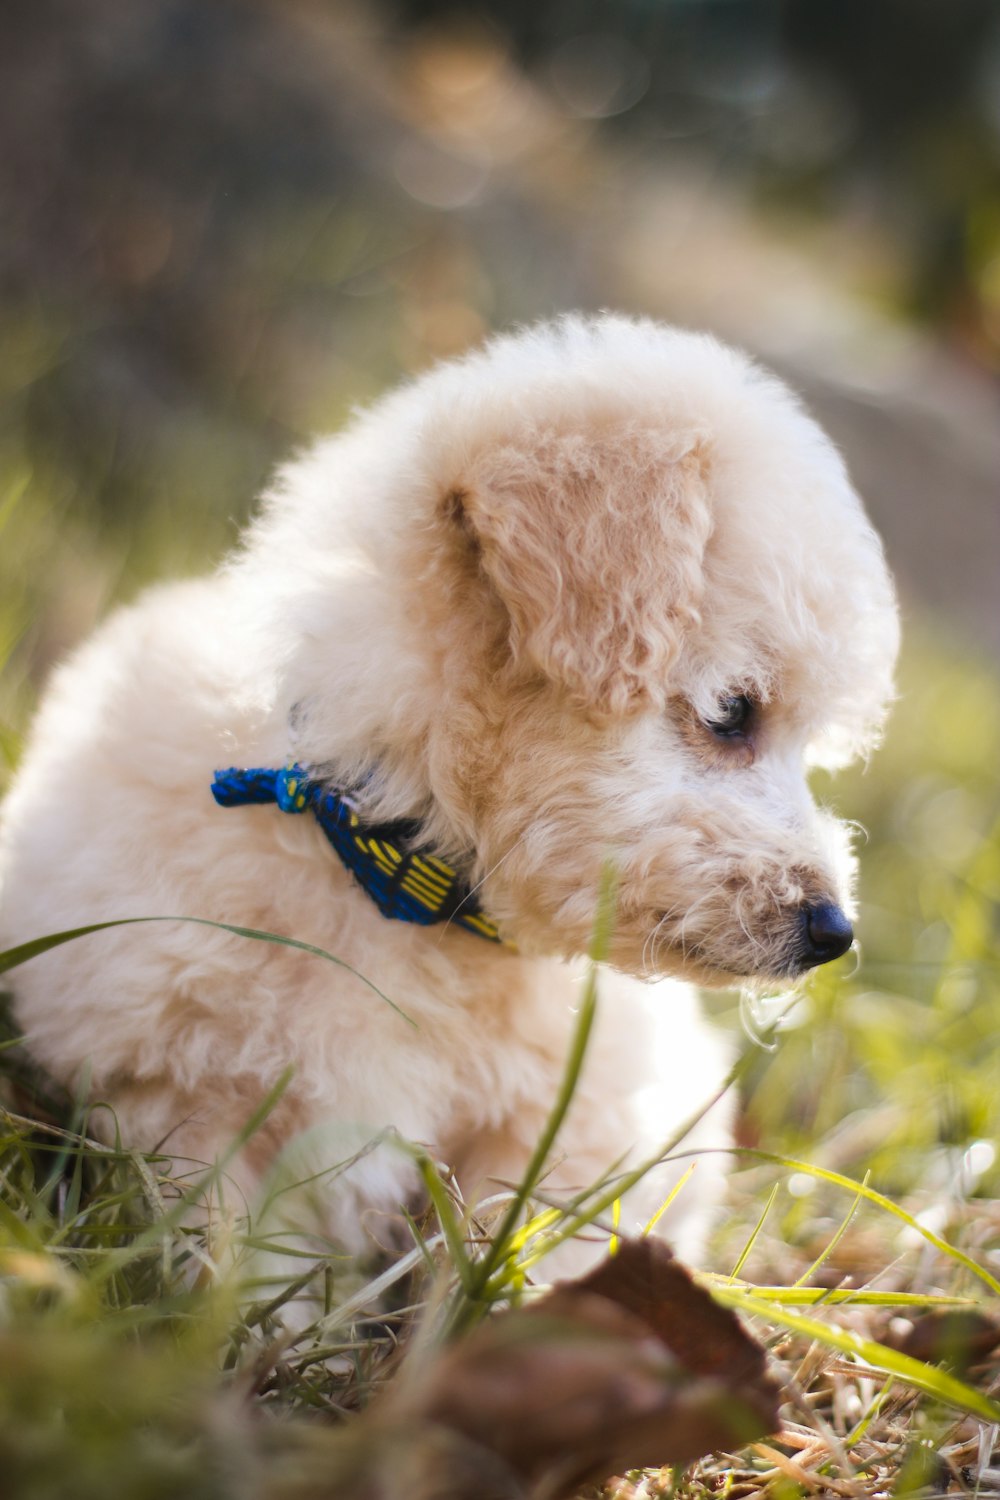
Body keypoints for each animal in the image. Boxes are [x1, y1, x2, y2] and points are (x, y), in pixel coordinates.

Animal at [0, 316, 899, 1278]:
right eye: (733, 713)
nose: (834, 932)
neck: (401, 878)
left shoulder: (569, 1130)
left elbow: (508, 1261)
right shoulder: (175, 1092)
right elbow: (237, 1259)